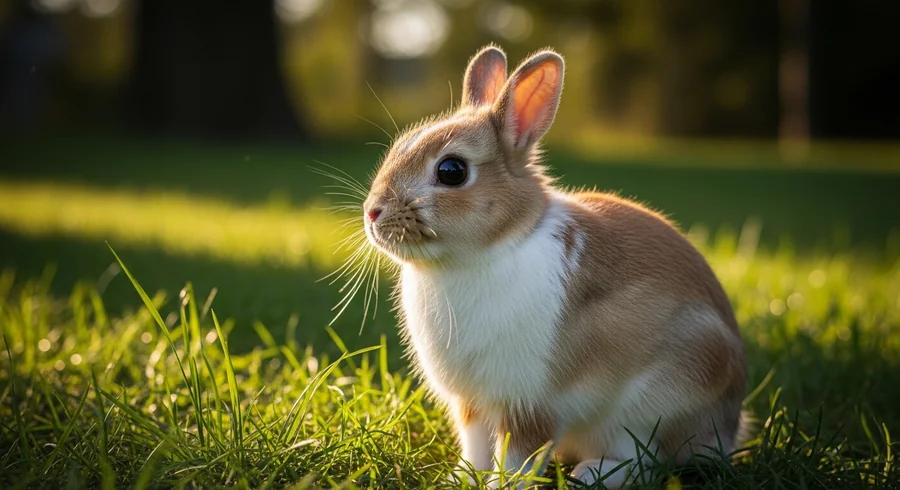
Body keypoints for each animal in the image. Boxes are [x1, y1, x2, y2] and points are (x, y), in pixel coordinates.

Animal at [360, 45, 746, 488]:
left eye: (452, 171)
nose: (372, 212)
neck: (489, 251)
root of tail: (729, 426)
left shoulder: (528, 403)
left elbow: (518, 456)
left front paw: (503, 485)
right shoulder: (471, 403)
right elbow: (475, 447)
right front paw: (463, 478)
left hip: (656, 402)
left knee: (645, 460)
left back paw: (591, 473)